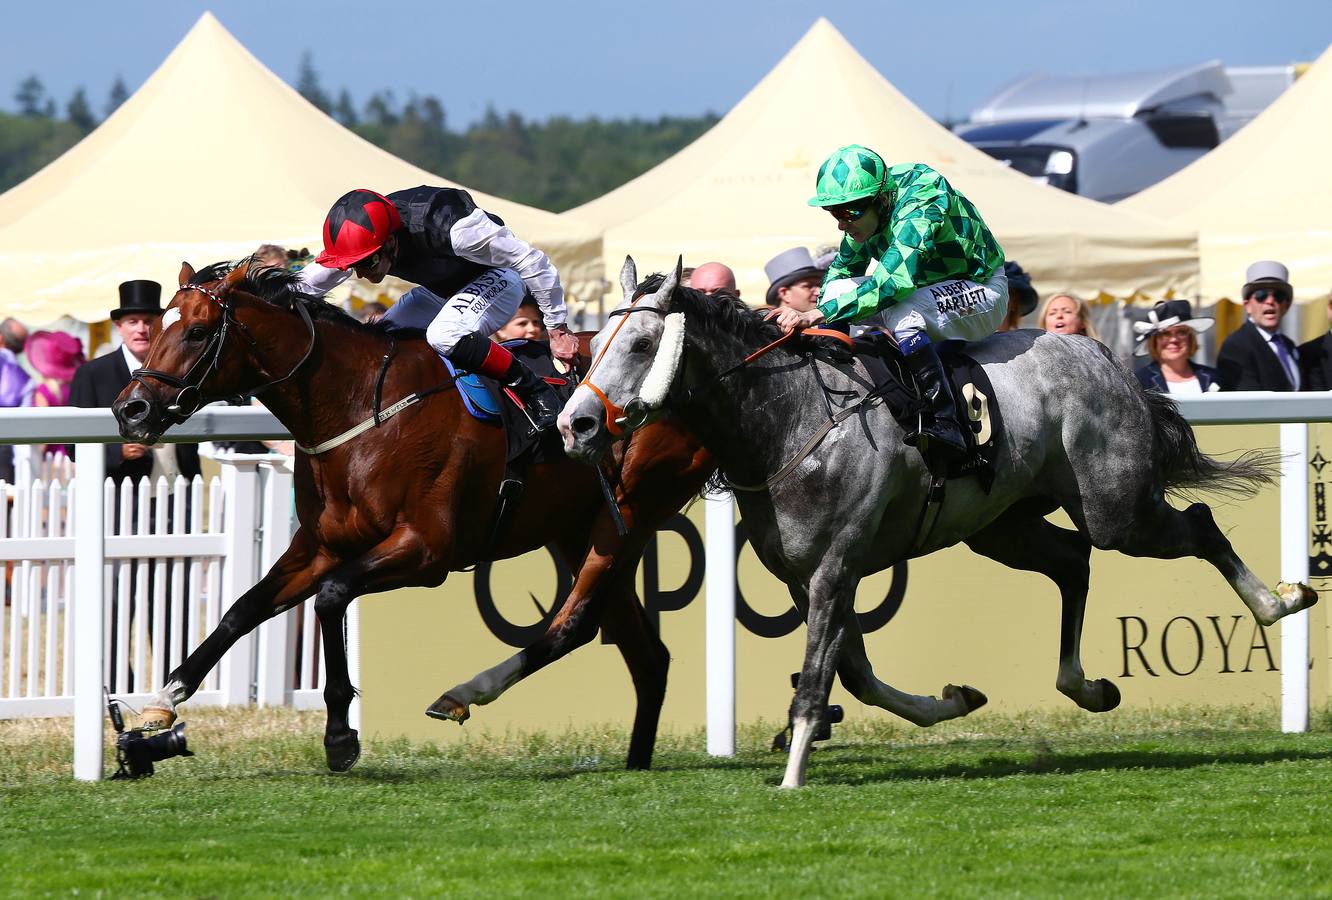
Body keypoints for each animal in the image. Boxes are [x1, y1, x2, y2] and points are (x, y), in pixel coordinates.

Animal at [111, 262, 719, 772]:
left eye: (196, 332)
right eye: (157, 326)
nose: (130, 409)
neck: (360, 407)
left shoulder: (425, 550)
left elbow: (331, 596)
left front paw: (340, 735)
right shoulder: (320, 546)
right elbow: (242, 610)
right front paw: (162, 701)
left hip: (630, 514)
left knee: (583, 624)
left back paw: (465, 696)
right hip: (574, 528)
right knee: (646, 653)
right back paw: (635, 761)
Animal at [556, 254, 1316, 788]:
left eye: (642, 342)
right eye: (595, 343)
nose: (575, 423)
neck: (791, 421)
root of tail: (1099, 354)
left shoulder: (837, 565)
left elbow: (821, 680)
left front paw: (793, 774)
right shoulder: (810, 577)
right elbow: (853, 676)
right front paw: (953, 699)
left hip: (1116, 509)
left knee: (1196, 524)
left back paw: (1280, 601)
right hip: (1001, 526)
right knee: (1074, 561)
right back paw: (1087, 686)